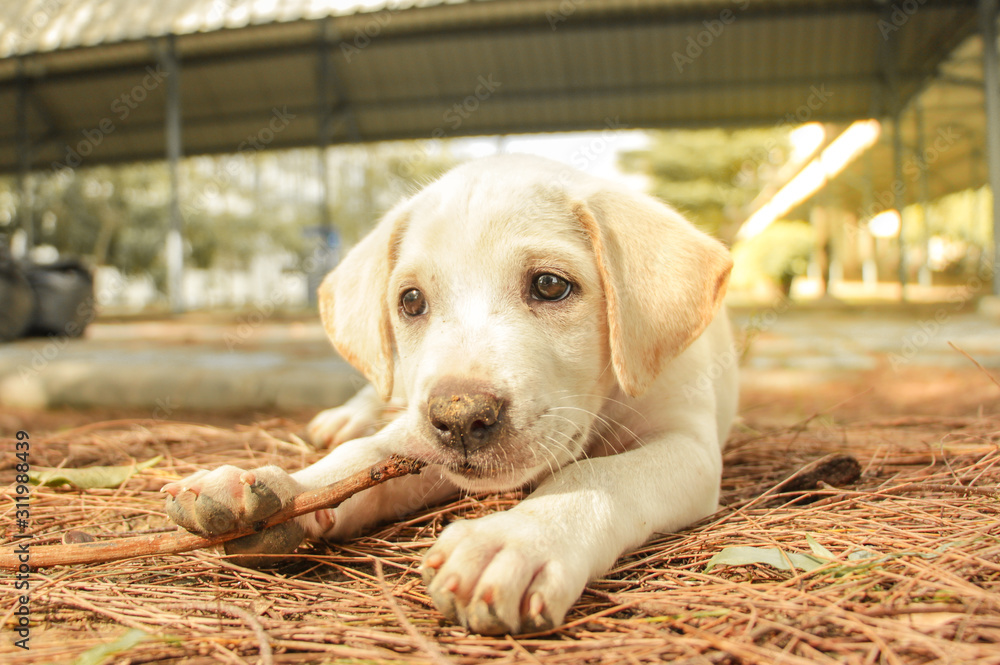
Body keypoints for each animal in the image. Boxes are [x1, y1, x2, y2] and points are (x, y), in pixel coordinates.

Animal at [164, 153, 740, 636]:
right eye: (411, 300)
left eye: (551, 285)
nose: (460, 420)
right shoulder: (415, 440)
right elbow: (361, 458)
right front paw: (280, 489)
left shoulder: (689, 447)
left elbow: (600, 473)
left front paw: (517, 538)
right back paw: (342, 419)